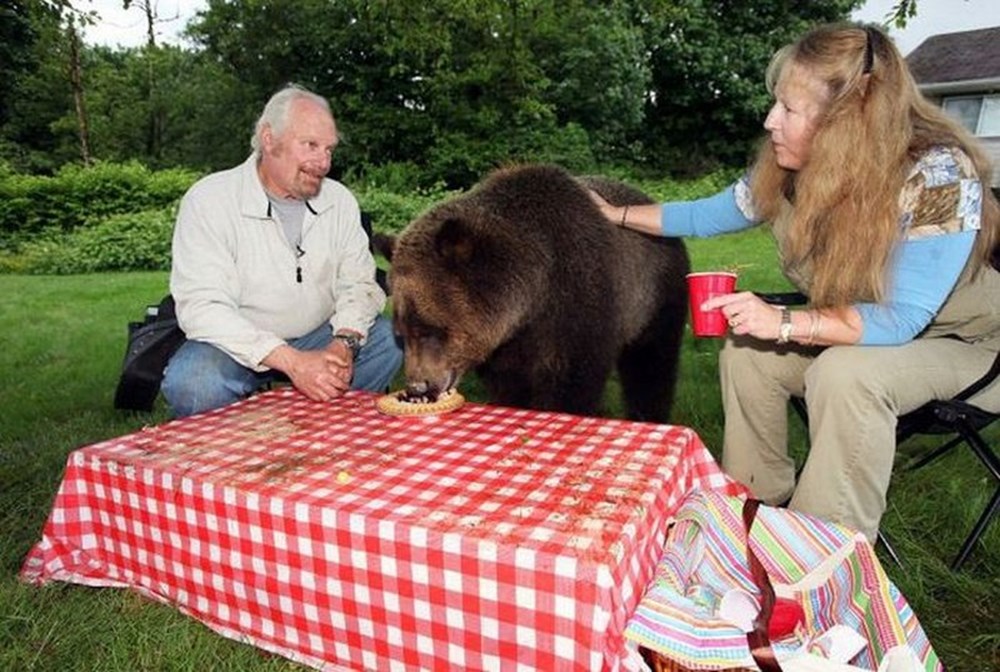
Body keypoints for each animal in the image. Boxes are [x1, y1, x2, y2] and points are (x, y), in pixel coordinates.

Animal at [376, 163, 688, 422]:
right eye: (401, 334)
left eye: (430, 329)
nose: (418, 386)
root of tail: (649, 199)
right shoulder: (508, 346)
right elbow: (511, 385)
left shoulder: (579, 305)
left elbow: (572, 385)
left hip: (655, 298)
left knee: (651, 367)